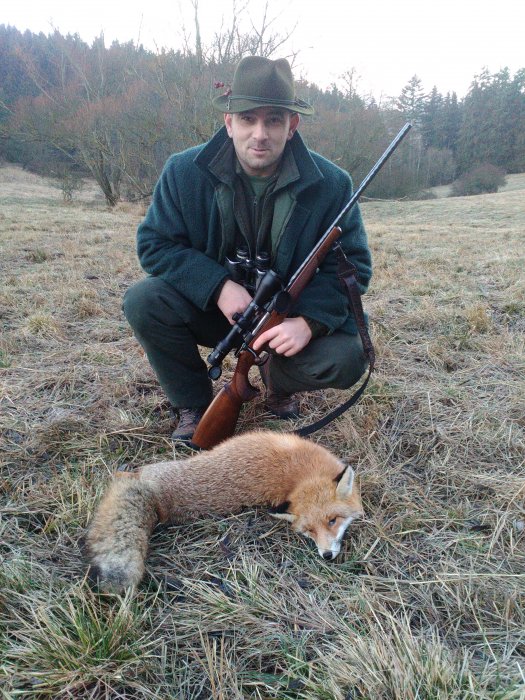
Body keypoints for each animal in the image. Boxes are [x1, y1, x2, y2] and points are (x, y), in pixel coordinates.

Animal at [84, 430, 364, 592]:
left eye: (332, 521)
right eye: (309, 531)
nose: (327, 555)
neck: (302, 473)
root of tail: (158, 499)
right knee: (123, 476)